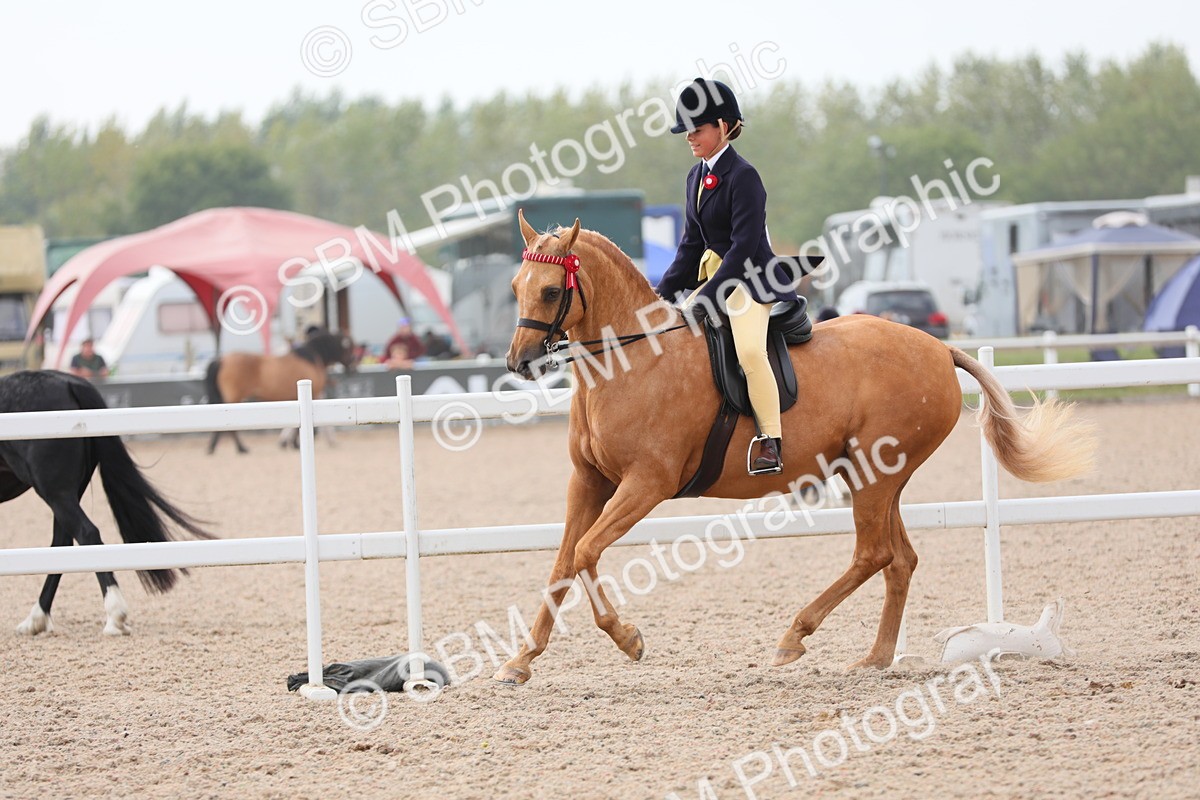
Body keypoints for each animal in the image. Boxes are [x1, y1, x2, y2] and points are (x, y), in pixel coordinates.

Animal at [0, 370, 212, 635]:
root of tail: (69, 383)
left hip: (56, 492)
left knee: (86, 533)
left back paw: (114, 616)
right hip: (66, 493)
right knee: (63, 542)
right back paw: (35, 619)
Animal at [204, 329, 356, 454]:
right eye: (348, 346)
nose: (352, 364)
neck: (311, 359)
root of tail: (222, 360)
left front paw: (290, 443)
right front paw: (295, 444)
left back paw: (213, 447)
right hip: (233, 399)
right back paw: (241, 448)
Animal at [491, 211, 1095, 685]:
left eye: (551, 290)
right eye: (516, 285)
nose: (518, 362)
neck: (631, 362)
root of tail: (938, 348)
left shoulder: (647, 485)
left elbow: (587, 552)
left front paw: (628, 638)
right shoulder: (590, 481)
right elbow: (564, 561)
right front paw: (521, 661)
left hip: (874, 477)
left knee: (873, 554)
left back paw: (793, 637)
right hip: (877, 475)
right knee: (899, 559)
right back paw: (875, 658)